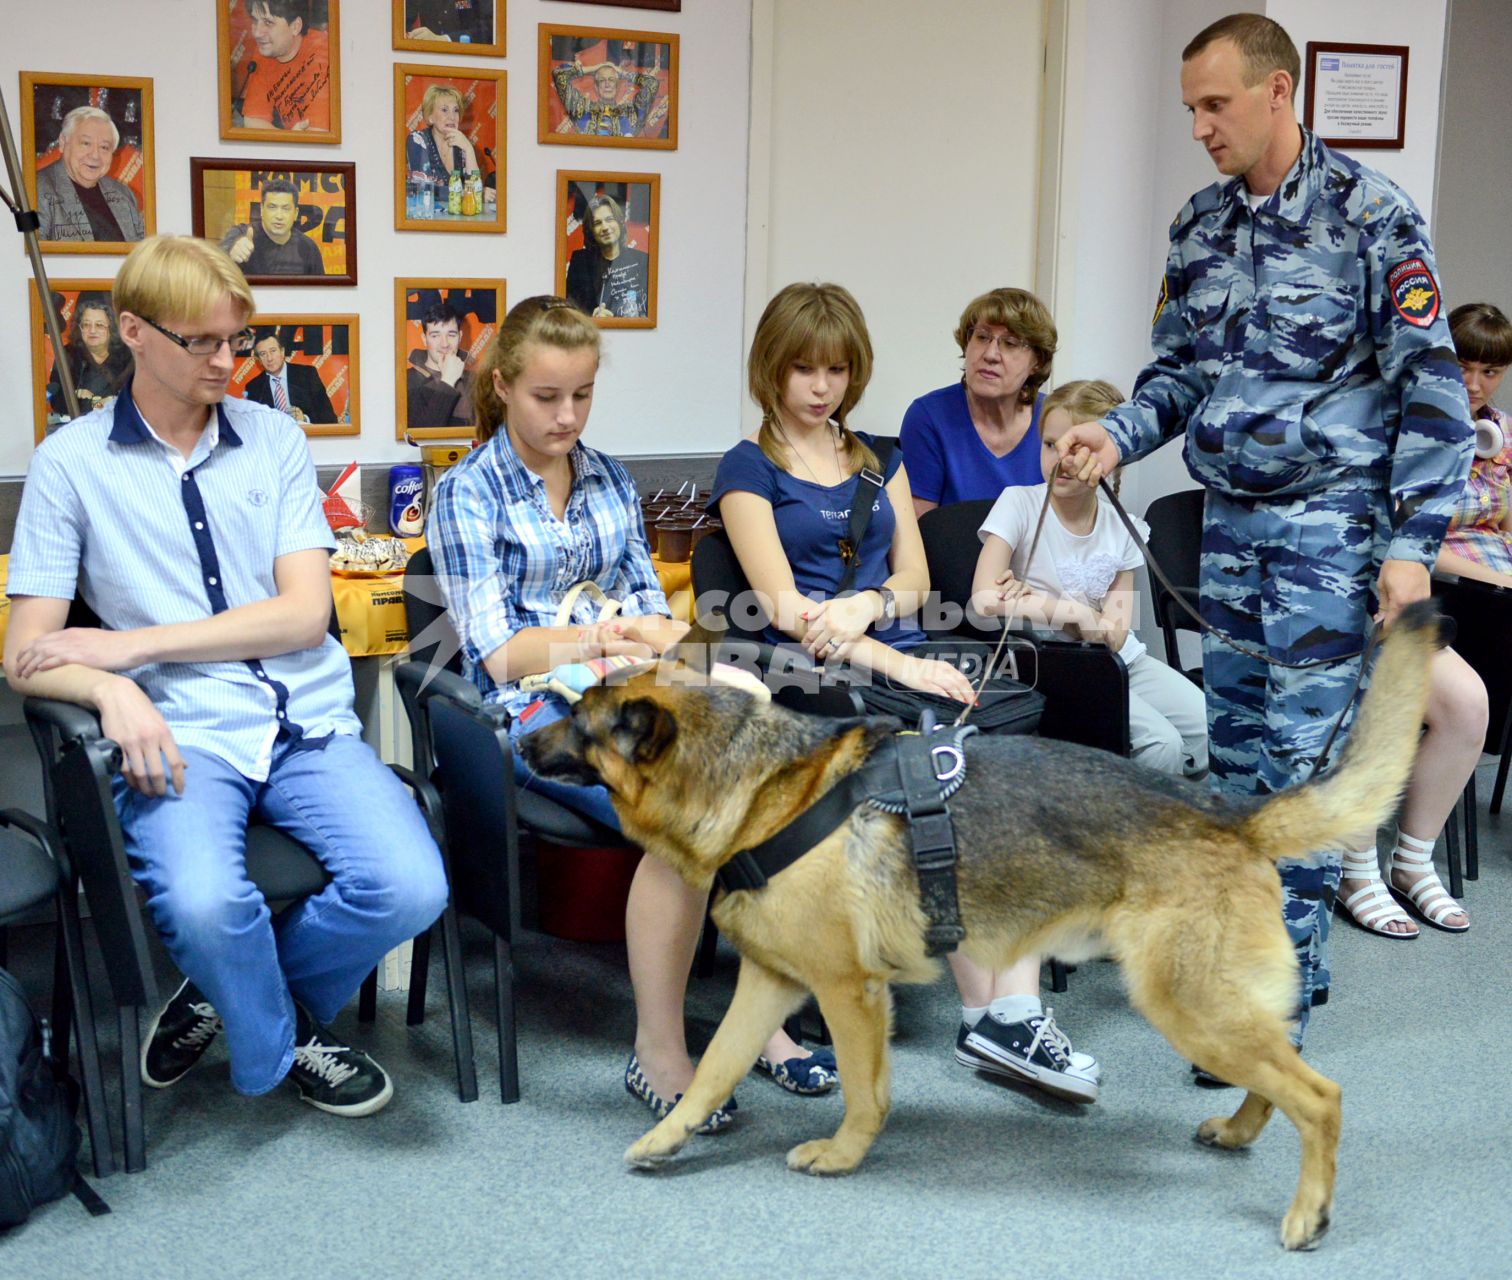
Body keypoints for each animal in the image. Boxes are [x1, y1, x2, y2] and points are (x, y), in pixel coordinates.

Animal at [517, 604, 1439, 1251]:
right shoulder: (772, 984)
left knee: (1320, 1096)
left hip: (1188, 1006)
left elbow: (864, 1093)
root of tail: (1230, 813)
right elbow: (710, 1073)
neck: (752, 785)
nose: (517, 739)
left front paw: (843, 1157)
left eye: (577, 718)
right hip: (1214, 1007)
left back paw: (1307, 1212)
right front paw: (666, 1137)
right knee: (1282, 1064)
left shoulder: (848, 993)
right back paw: (1241, 1130)